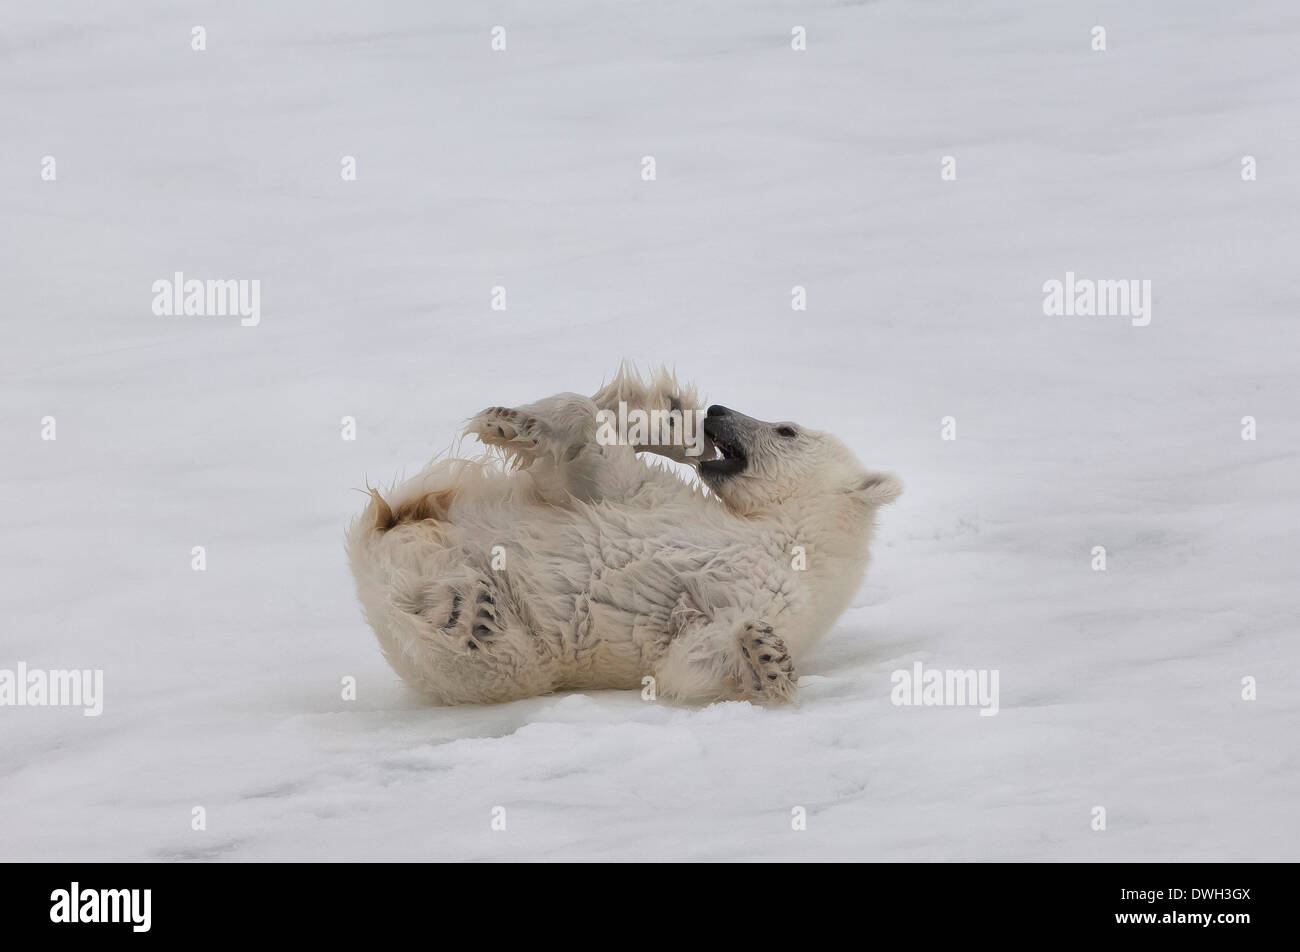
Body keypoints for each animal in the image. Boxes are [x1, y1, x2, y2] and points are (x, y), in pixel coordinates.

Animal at [345, 365, 901, 705]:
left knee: (485, 661)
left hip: (516, 654)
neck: (785, 541)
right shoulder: (670, 509)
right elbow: (608, 475)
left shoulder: (774, 599)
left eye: (786, 429)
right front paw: (512, 423)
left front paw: (766, 658)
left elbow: (690, 661)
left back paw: (467, 614)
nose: (719, 410)